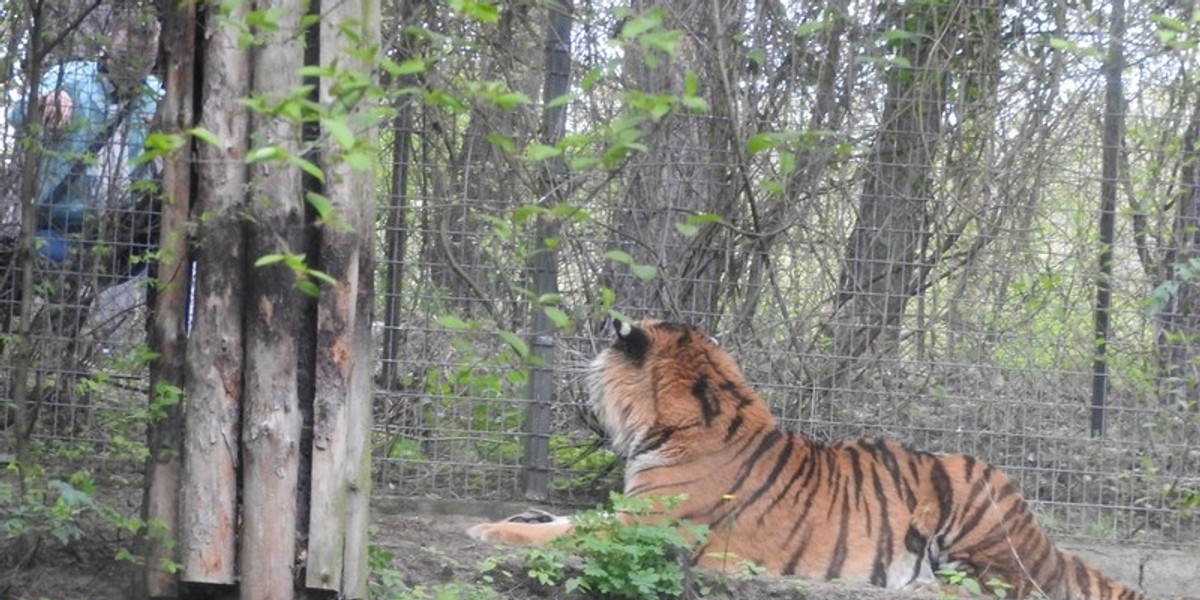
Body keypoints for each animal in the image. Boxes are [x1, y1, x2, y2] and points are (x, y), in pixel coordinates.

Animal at [465, 321, 1142, 597]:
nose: (579, 376)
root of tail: (1040, 534)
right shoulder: (629, 513)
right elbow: (563, 520)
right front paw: (520, 516)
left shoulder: (645, 527)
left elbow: (569, 532)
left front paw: (485, 529)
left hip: (973, 515)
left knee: (999, 589)